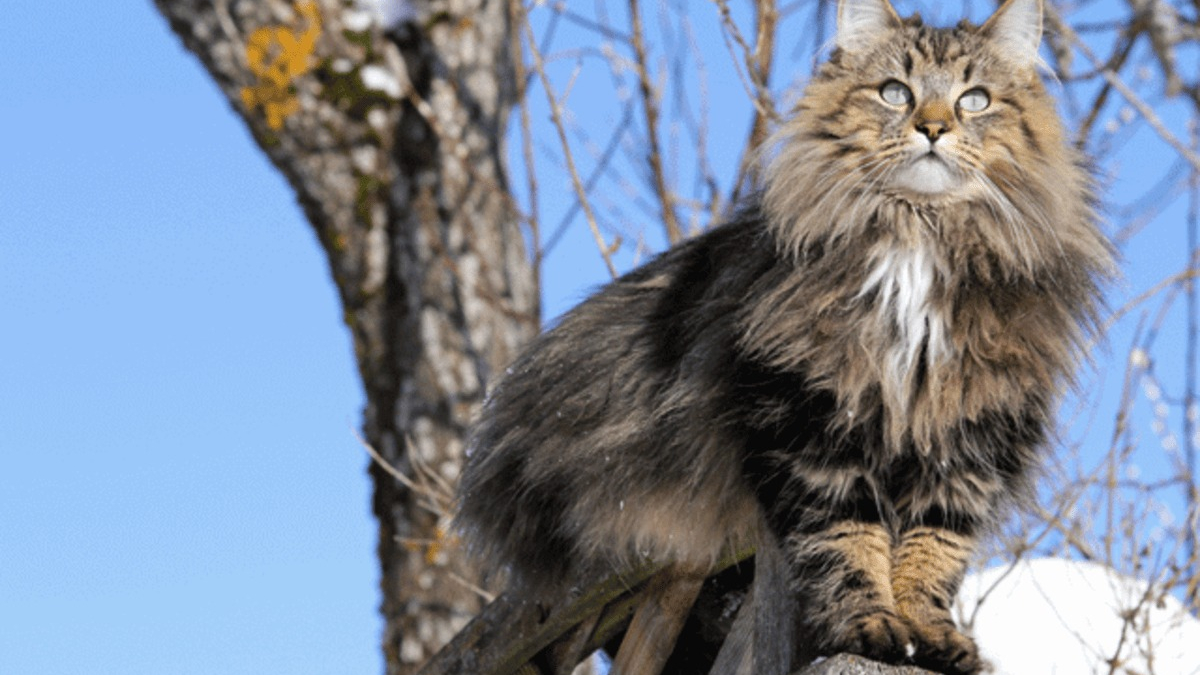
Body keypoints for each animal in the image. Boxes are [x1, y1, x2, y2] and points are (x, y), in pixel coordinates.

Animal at [453, 0, 1108, 667]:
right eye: (895, 92)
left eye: (974, 100)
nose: (932, 128)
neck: (918, 237)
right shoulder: (813, 426)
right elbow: (848, 544)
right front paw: (871, 625)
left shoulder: (967, 441)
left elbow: (933, 553)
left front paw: (930, 636)